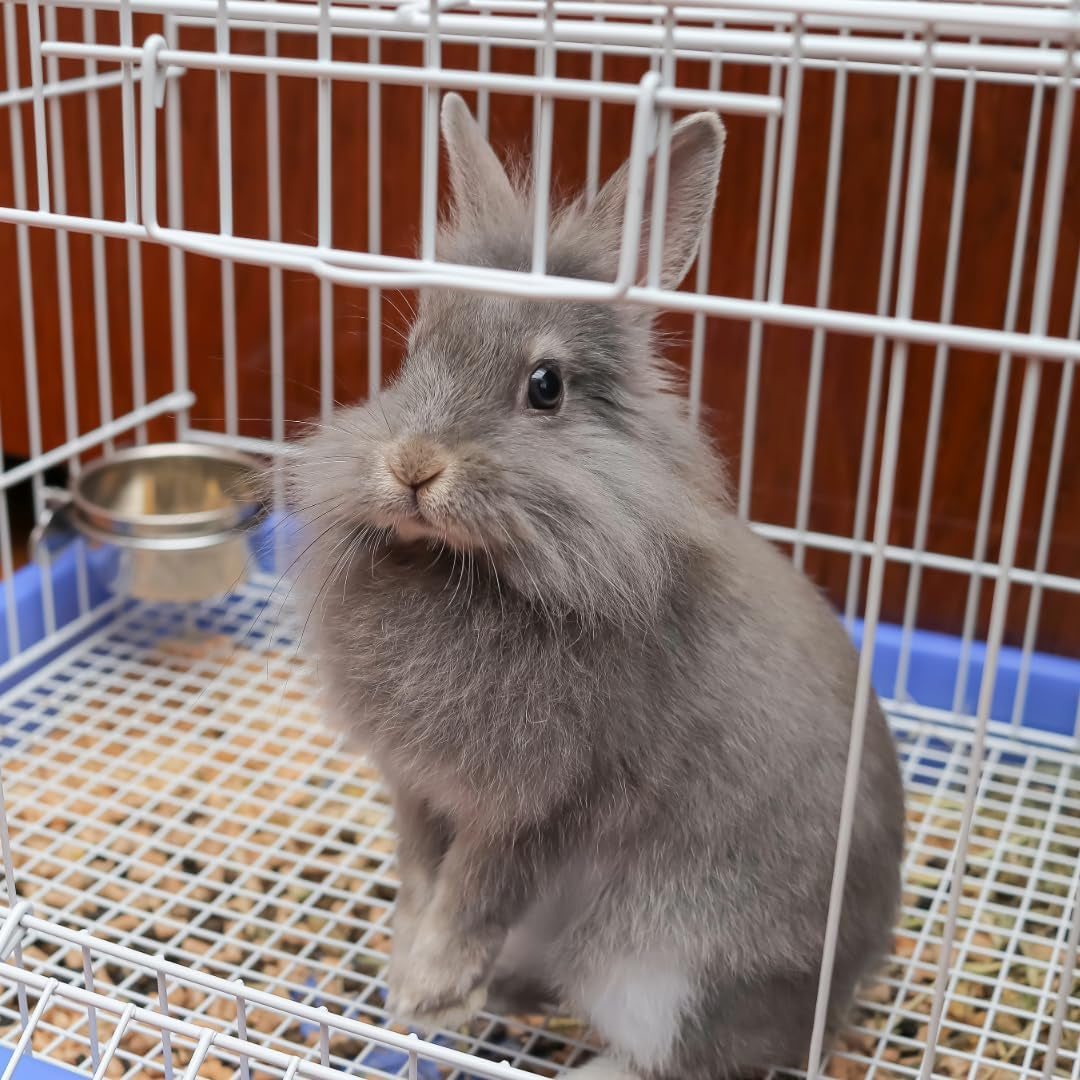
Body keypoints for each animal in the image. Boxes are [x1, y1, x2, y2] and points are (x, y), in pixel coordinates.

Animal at [284, 92, 905, 1080]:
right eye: (414, 352)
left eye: (546, 386)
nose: (413, 467)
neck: (469, 569)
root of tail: (834, 999)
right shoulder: (418, 789)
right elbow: (421, 877)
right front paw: (404, 974)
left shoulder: (542, 805)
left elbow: (474, 893)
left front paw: (425, 990)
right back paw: (499, 992)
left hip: (668, 970)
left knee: (680, 1058)